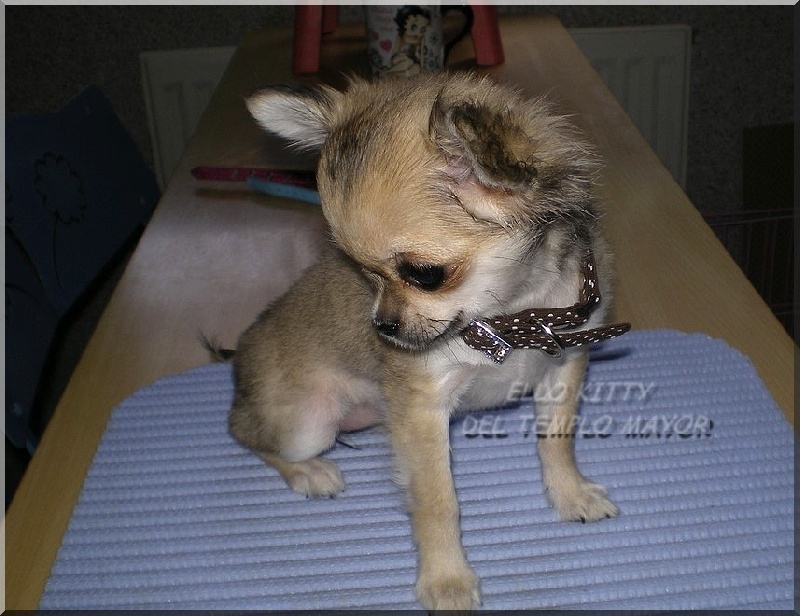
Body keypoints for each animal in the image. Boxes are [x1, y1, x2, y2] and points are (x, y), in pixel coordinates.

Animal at [227, 72, 627, 610]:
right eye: (361, 272)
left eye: (423, 274)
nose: (383, 327)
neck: (512, 313)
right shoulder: (422, 408)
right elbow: (437, 503)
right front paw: (447, 579)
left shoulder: (565, 365)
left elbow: (557, 441)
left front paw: (570, 493)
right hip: (306, 425)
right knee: (246, 433)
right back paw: (310, 473)